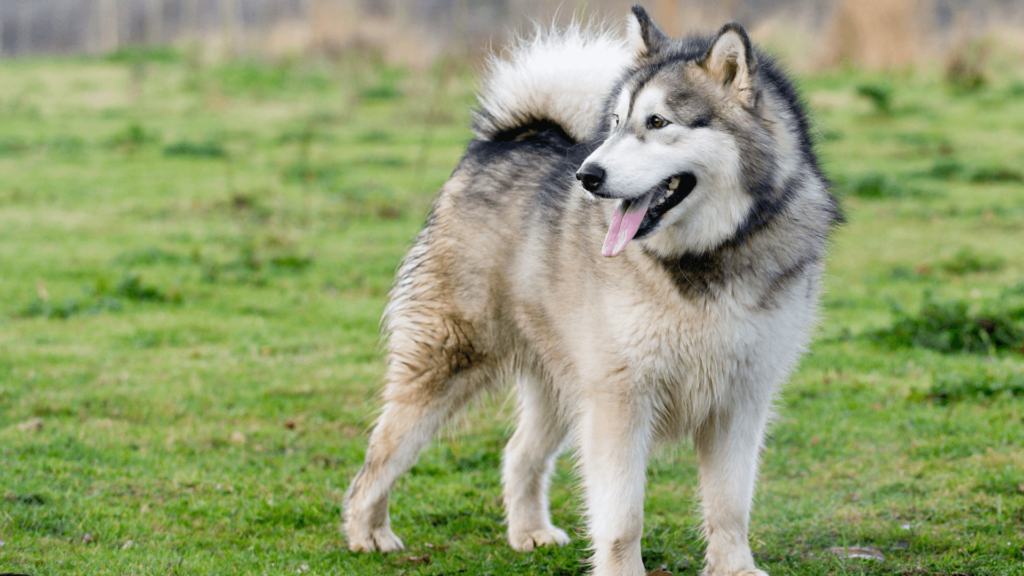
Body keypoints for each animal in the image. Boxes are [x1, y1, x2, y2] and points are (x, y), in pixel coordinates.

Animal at [344, 5, 839, 573]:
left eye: (658, 122)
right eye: (617, 122)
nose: (587, 175)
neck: (706, 260)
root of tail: (507, 138)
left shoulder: (740, 399)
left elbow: (730, 505)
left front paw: (734, 567)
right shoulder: (619, 402)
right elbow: (622, 516)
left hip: (563, 383)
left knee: (518, 452)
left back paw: (529, 531)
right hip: (451, 359)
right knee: (381, 453)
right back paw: (367, 530)